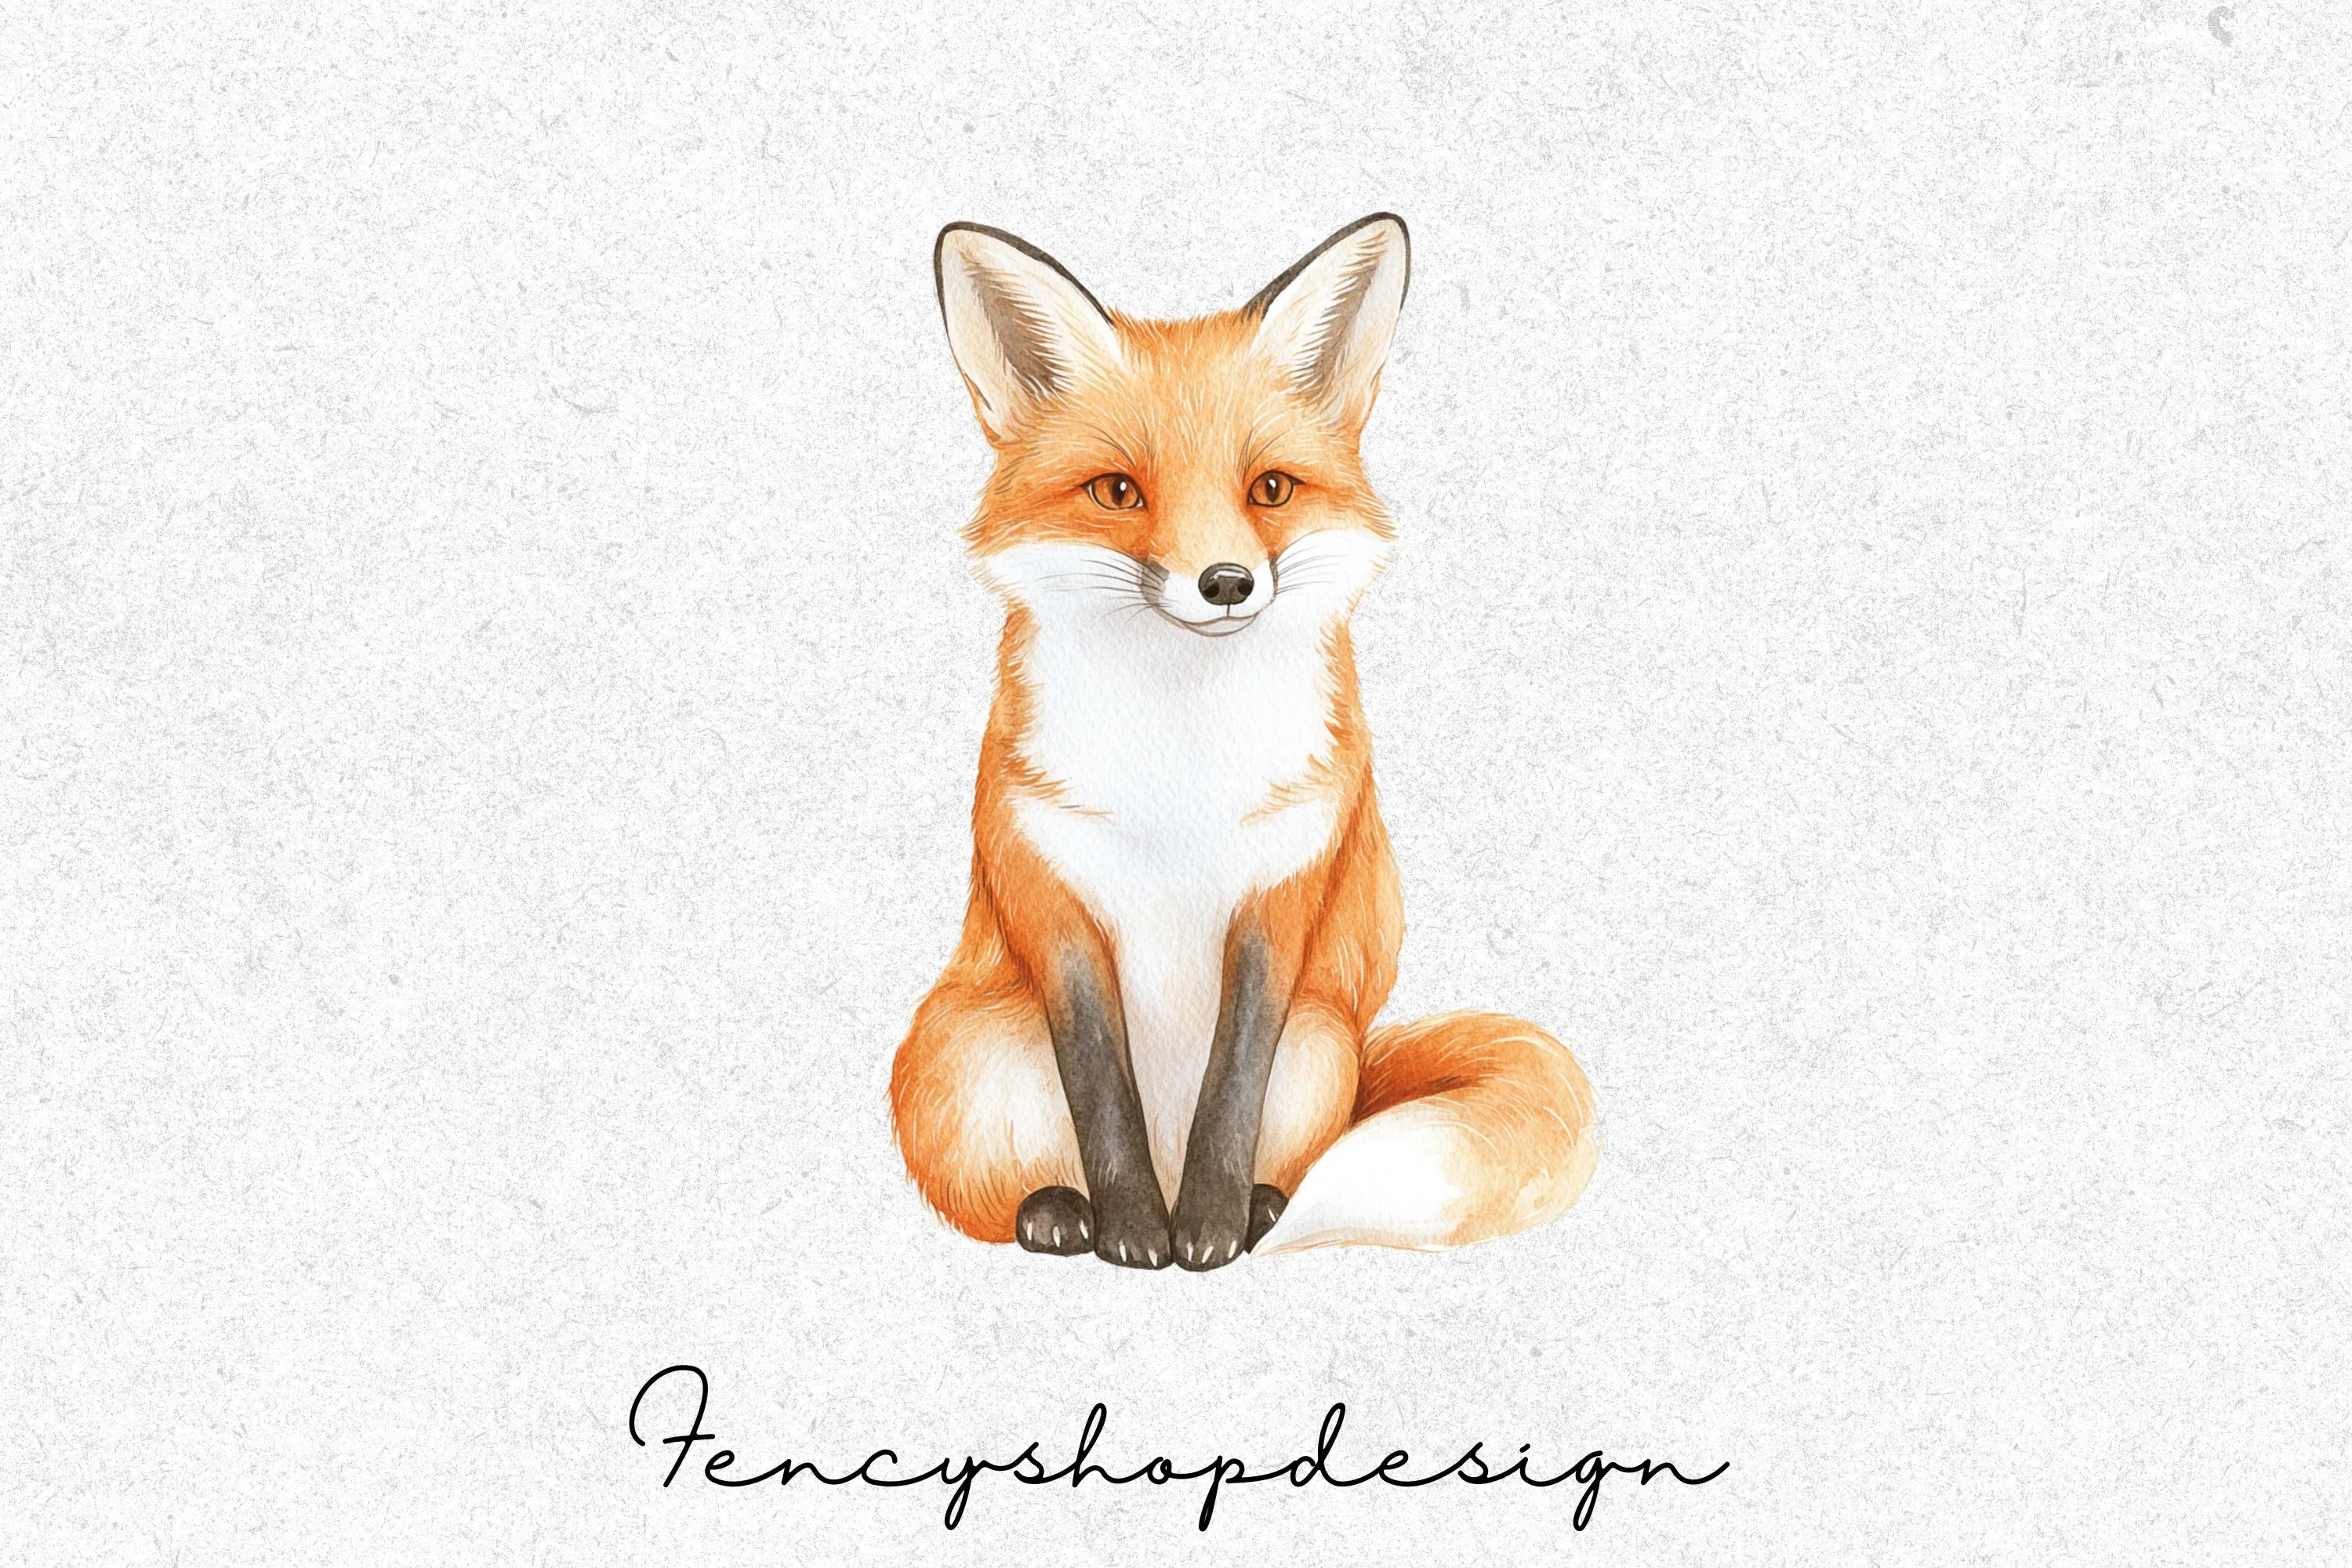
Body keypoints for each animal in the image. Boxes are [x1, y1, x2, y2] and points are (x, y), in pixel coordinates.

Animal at [890, 213, 1599, 1270]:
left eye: (1270, 487)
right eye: (1118, 491)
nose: (1225, 582)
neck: (1182, 766)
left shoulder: (1283, 893)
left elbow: (1232, 1083)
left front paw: (1213, 1224)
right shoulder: (1051, 894)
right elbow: (1101, 1091)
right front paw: (1135, 1228)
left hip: (1321, 1045)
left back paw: (1262, 1207)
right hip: (965, 1048)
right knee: (996, 1189)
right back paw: (1057, 1212)